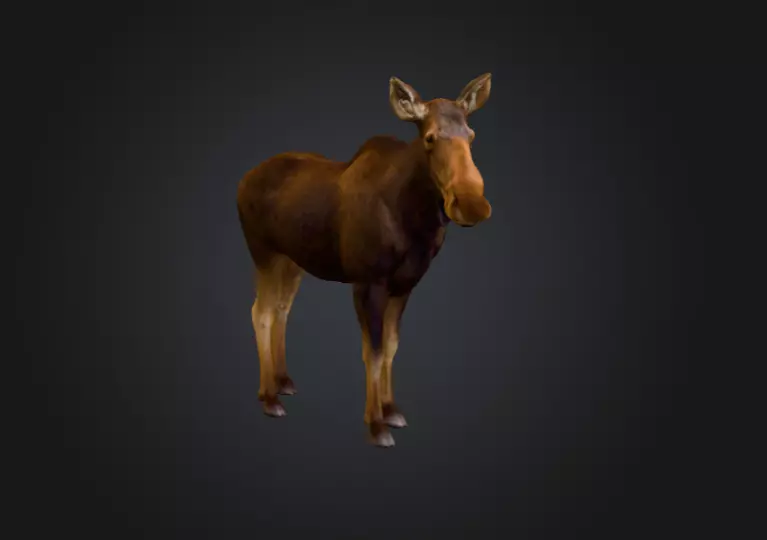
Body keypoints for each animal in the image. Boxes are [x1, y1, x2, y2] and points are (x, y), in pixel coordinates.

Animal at [236, 73, 493, 447]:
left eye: (471, 135)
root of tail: (241, 183)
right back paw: (268, 397)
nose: (471, 203)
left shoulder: (404, 285)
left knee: (282, 309)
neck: (415, 221)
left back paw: (283, 382)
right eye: (429, 137)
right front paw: (376, 425)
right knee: (262, 312)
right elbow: (372, 351)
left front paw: (391, 410)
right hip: (263, 252)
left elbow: (390, 346)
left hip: (292, 261)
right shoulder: (367, 282)